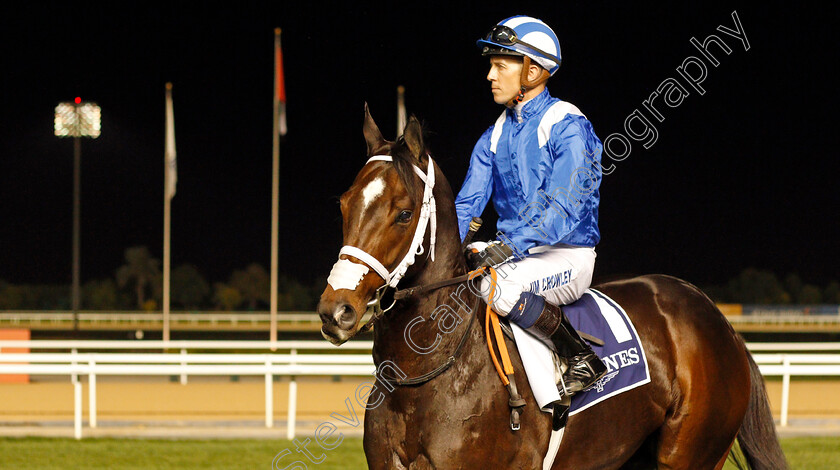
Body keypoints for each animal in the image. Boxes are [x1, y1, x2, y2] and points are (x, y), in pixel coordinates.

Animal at [316, 106, 788, 470]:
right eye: (343, 204)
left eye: (403, 212)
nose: (336, 310)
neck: (425, 376)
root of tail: (718, 319)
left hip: (691, 453)